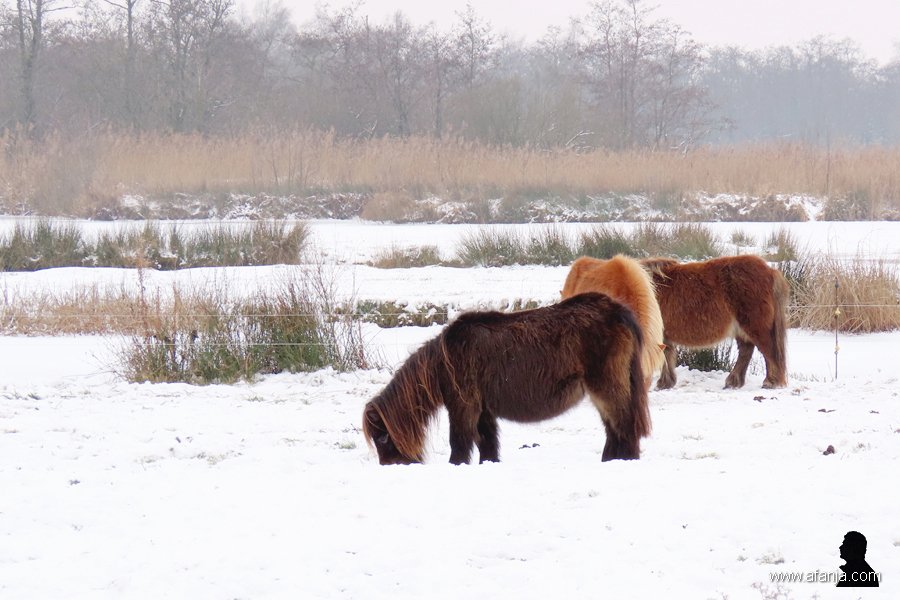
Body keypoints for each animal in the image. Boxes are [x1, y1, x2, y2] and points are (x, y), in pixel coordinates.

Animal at [362, 292, 652, 465]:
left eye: (382, 438)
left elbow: (459, 443)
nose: (392, 467)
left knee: (624, 425)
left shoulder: (463, 406)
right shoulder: (483, 411)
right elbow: (487, 444)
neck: (444, 361)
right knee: (613, 428)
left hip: (606, 387)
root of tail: (617, 311)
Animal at [640, 255, 790, 389]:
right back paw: (733, 382)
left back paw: (771, 382)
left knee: (769, 351)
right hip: (742, 328)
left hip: (756, 326)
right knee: (746, 351)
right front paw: (666, 383)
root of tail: (770, 270)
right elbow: (666, 356)